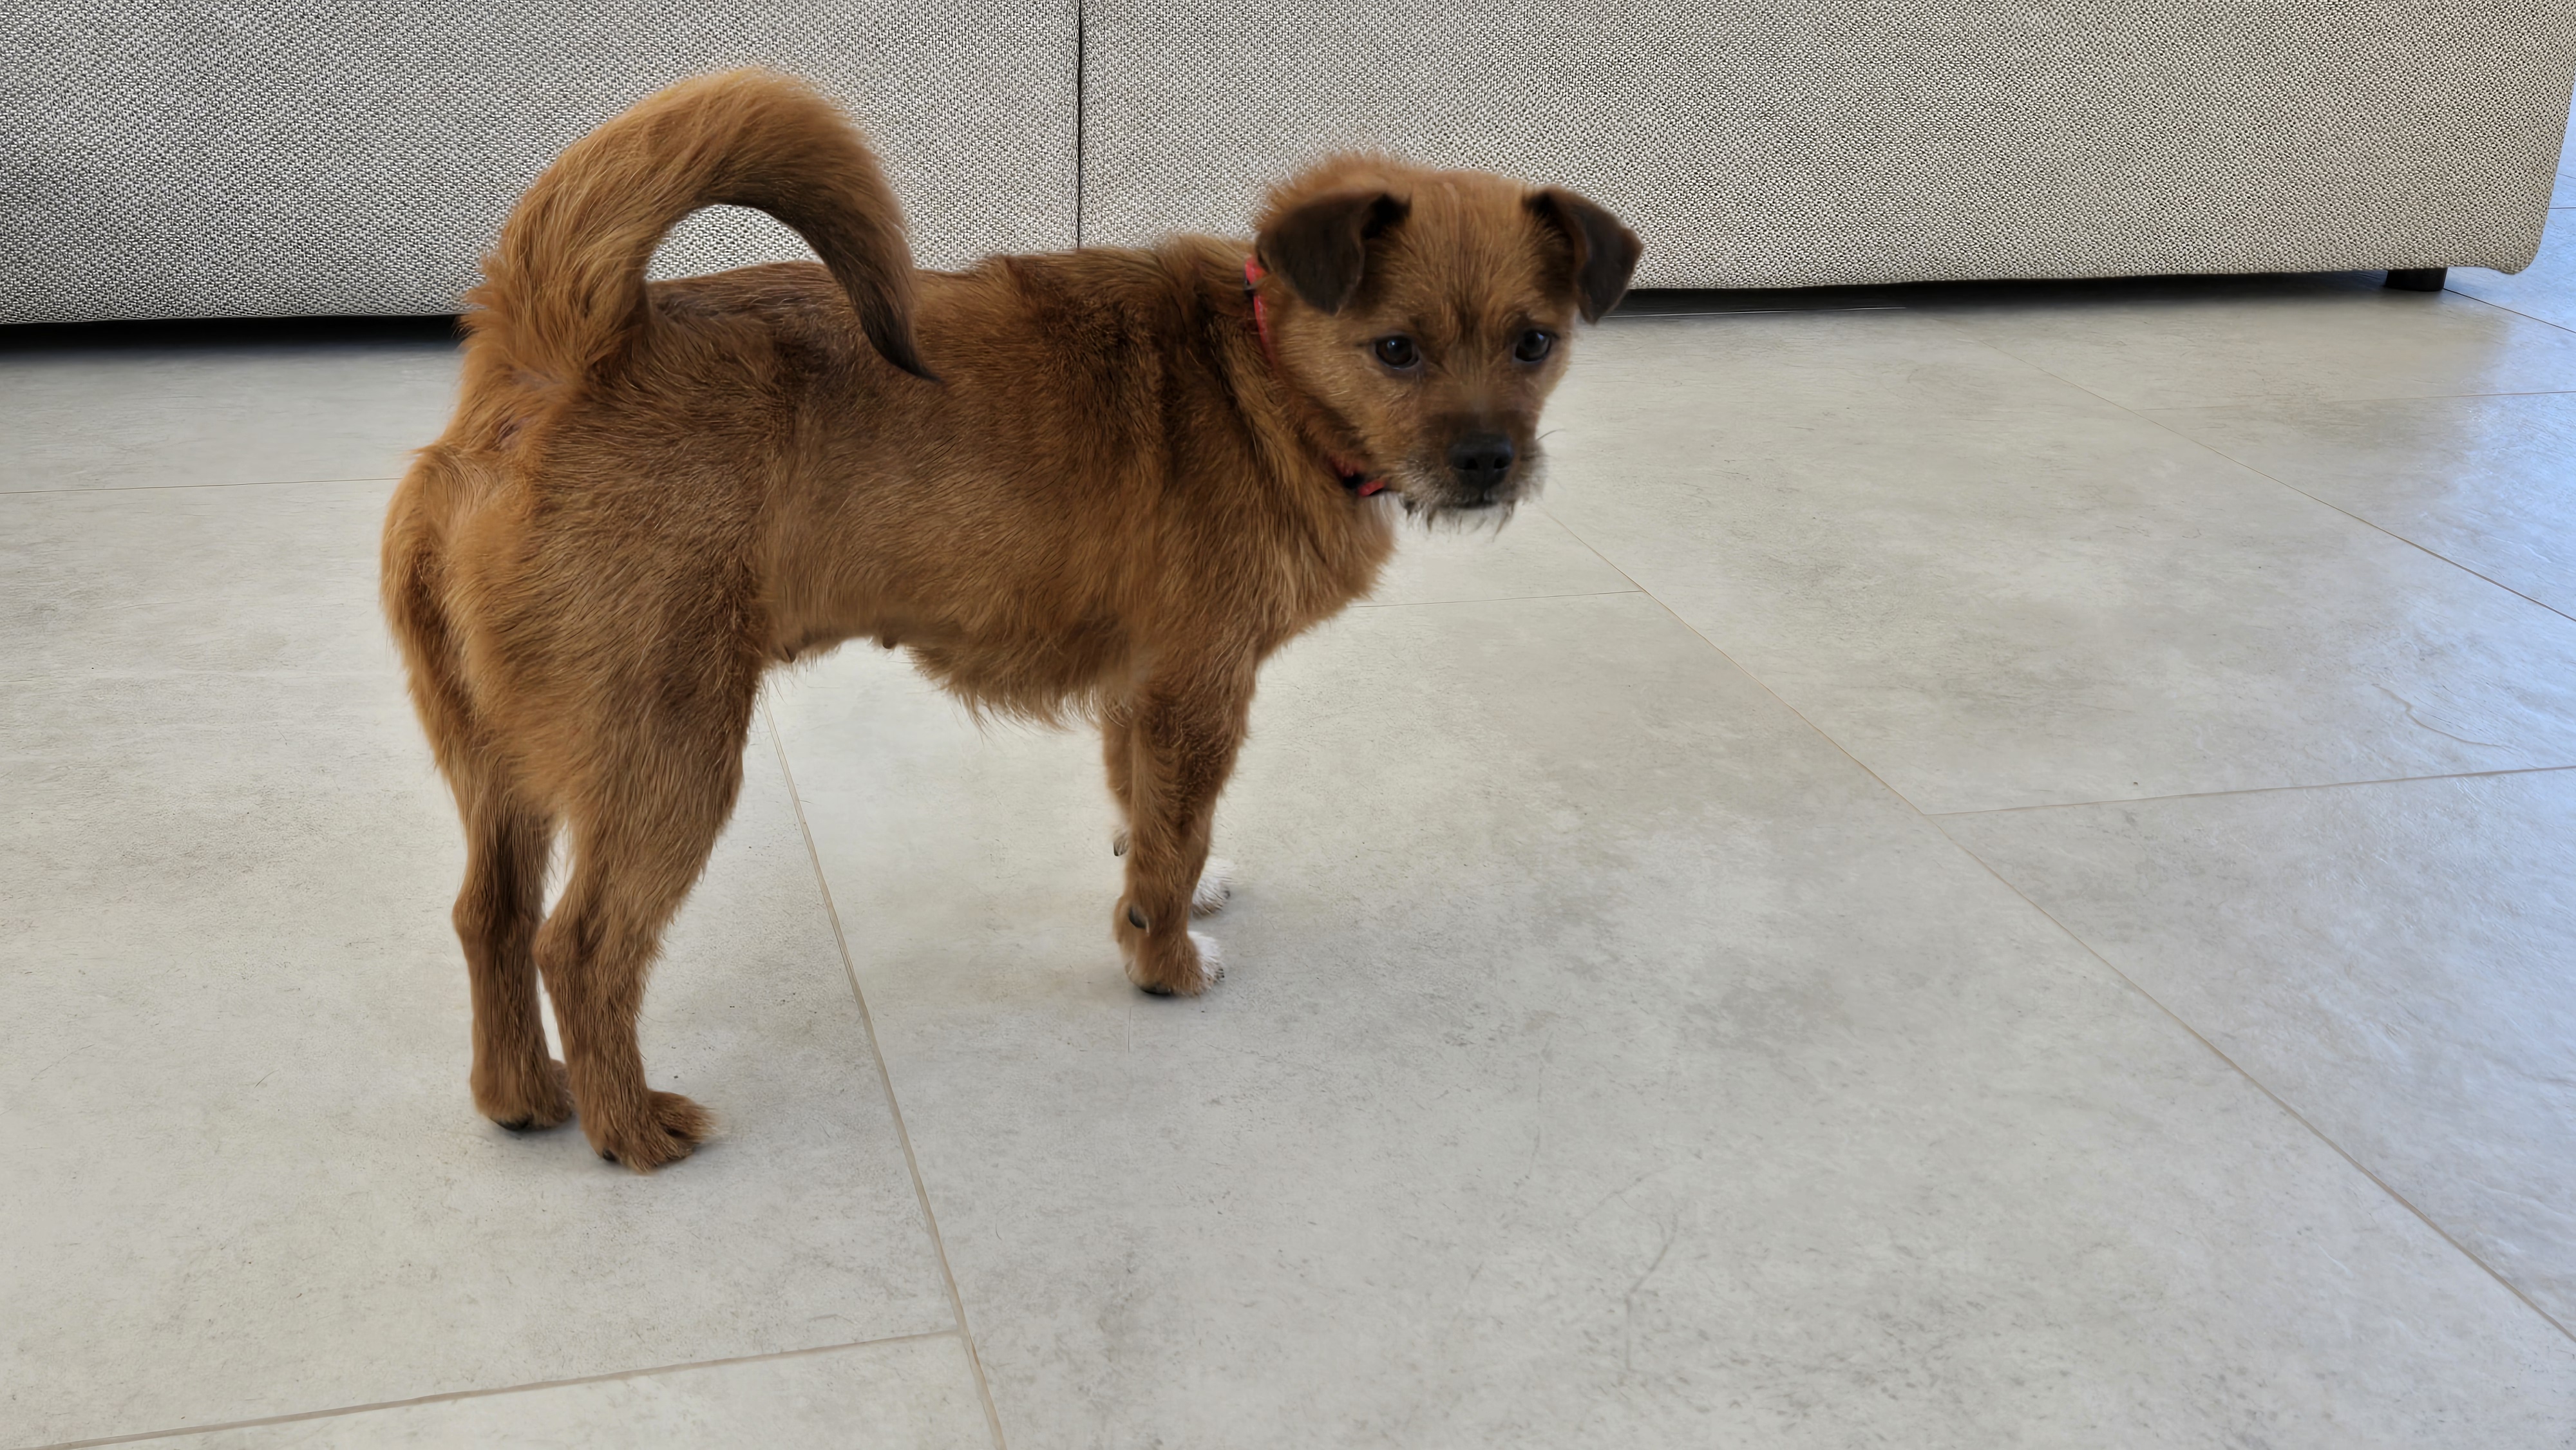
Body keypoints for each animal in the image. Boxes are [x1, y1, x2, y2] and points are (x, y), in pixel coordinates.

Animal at [382, 70, 1639, 1170]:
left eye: (1535, 342)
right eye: (1397, 350)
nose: (1489, 461)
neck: (1262, 374)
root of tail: (553, 352)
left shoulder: (1145, 694)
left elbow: (1148, 815)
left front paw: (1163, 894)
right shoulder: (1202, 688)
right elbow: (1174, 838)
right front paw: (1165, 958)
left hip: (501, 767)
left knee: (488, 915)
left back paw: (521, 1094)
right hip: (670, 757)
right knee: (581, 946)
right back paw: (630, 1128)